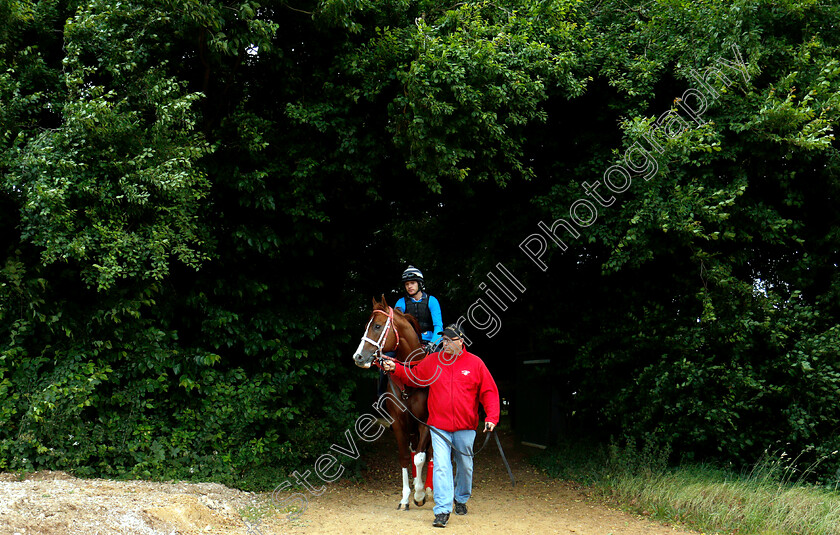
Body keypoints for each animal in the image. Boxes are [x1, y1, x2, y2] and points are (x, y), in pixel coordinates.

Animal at [350, 298, 430, 510]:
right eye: (366, 326)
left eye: (377, 326)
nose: (358, 357)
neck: (410, 380)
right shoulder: (399, 424)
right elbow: (404, 457)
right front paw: (406, 497)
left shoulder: (425, 423)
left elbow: (420, 457)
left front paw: (420, 494)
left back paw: (428, 489)